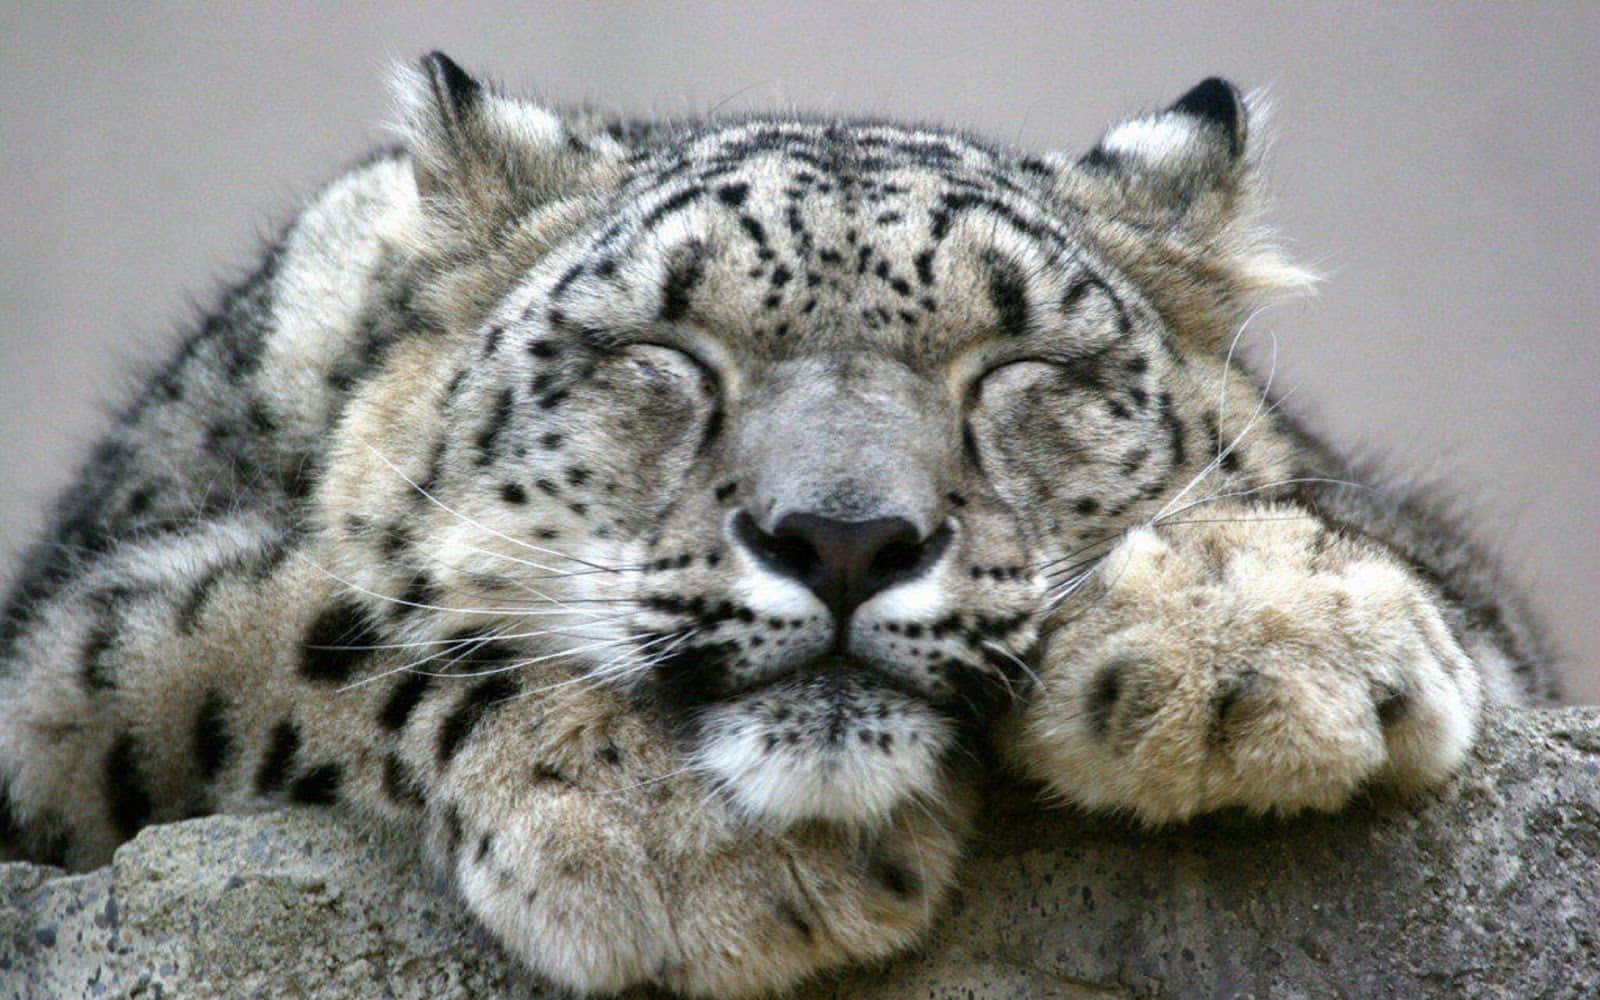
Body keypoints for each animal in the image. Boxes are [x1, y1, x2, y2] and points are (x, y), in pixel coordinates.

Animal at [0, 56, 1548, 998]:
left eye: (1019, 365)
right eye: (668, 350)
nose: (844, 538)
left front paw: (1258, 641)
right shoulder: (62, 683)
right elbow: (308, 610)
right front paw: (676, 836)